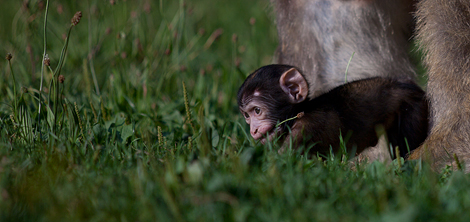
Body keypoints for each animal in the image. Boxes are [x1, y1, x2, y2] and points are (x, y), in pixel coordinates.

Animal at [239, 64, 430, 158]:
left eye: (257, 110)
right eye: (247, 116)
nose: (253, 130)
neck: (304, 110)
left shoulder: (308, 127)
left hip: (413, 107)